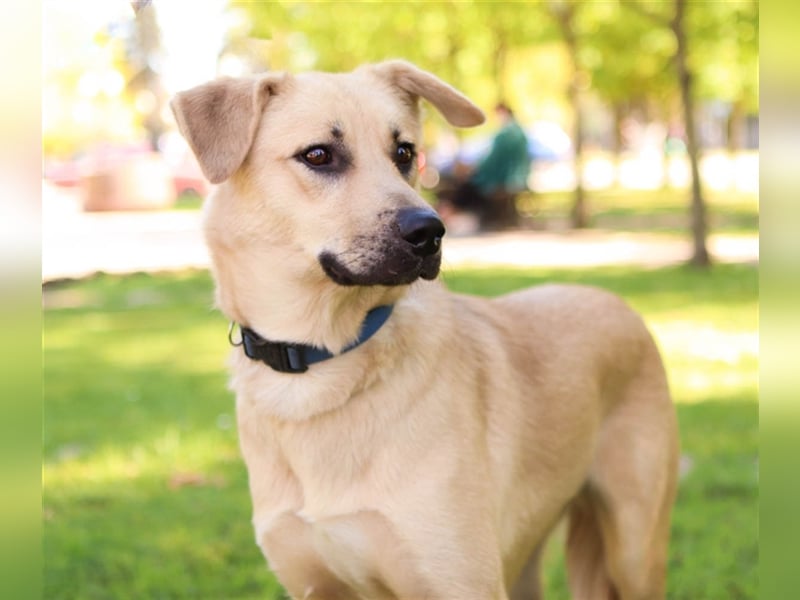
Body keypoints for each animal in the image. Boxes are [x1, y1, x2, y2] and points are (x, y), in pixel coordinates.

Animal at [172, 62, 680, 600]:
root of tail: (609, 296)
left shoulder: (463, 583)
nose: (430, 232)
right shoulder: (316, 586)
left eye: (404, 153)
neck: (317, 363)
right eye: (318, 154)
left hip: (634, 548)